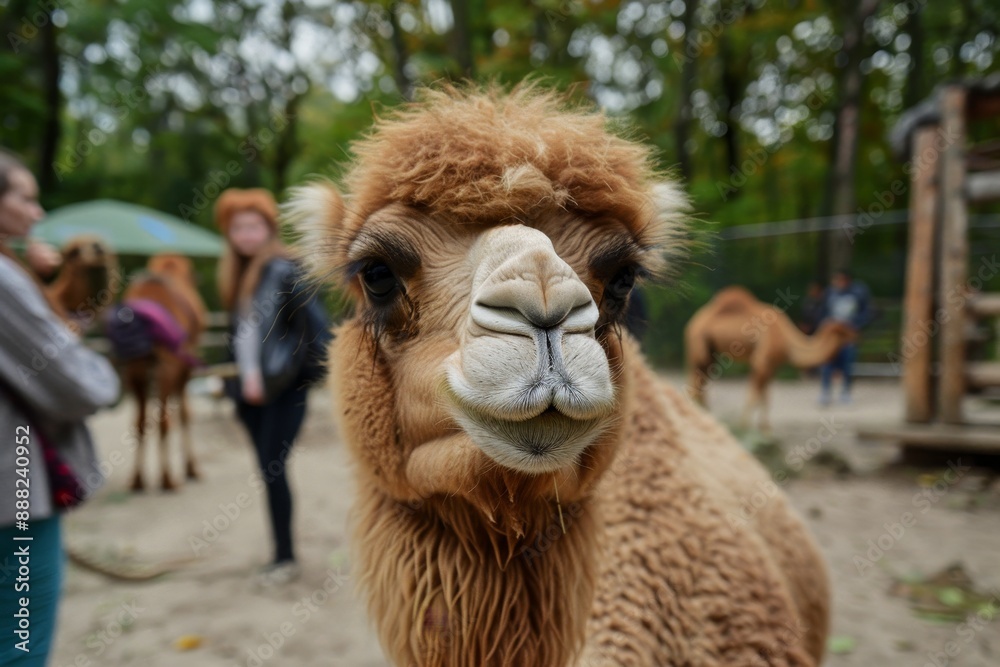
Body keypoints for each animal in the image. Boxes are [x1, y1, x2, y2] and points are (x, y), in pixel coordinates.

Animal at [107, 254, 206, 491]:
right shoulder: (184, 366)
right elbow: (185, 413)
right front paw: (191, 468)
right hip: (166, 367)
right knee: (163, 420)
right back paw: (168, 478)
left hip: (135, 370)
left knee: (141, 421)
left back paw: (137, 479)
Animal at [686, 286, 855, 432]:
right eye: (844, 330)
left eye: (848, 328)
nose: (857, 334)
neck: (787, 341)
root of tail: (693, 322)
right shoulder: (761, 362)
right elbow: (755, 394)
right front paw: (744, 425)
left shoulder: (771, 367)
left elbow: (765, 395)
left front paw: (765, 429)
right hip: (699, 346)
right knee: (696, 382)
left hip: (709, 353)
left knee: (700, 382)